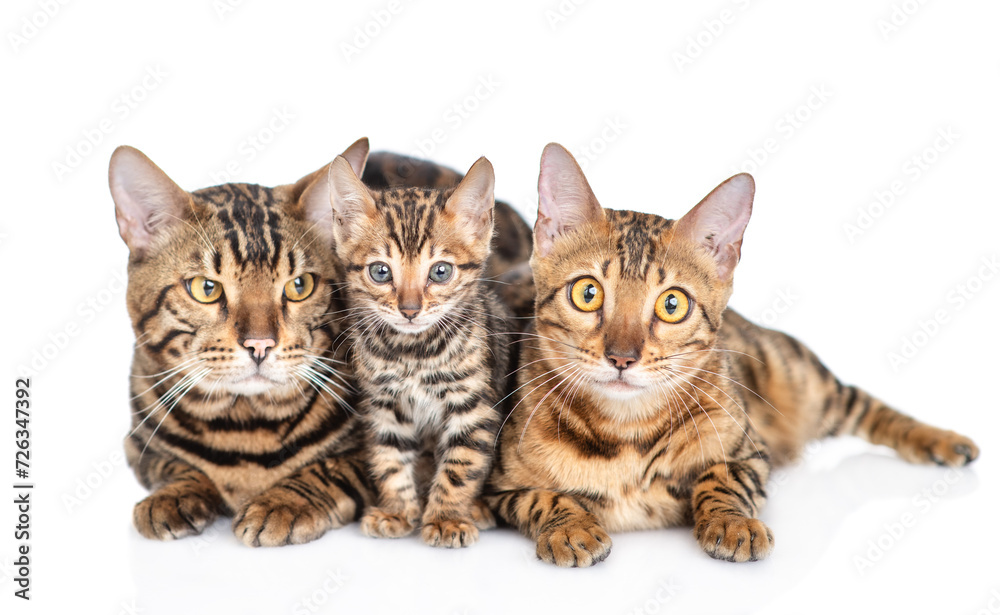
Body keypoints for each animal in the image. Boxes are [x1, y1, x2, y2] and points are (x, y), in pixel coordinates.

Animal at [109, 137, 374, 548]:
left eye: (299, 286)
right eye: (206, 288)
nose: (260, 344)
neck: (245, 427)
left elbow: (334, 467)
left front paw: (282, 501)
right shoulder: (137, 445)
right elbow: (172, 464)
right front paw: (173, 495)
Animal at [328, 154, 520, 548]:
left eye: (441, 271)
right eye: (380, 272)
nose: (410, 309)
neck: (412, 353)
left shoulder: (473, 407)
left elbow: (461, 465)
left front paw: (447, 518)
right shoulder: (385, 405)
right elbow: (389, 458)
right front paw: (397, 510)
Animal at [488, 143, 980, 568]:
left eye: (672, 304)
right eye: (587, 293)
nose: (622, 357)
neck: (626, 434)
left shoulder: (751, 452)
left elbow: (721, 478)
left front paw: (731, 523)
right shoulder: (497, 490)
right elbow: (544, 496)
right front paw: (570, 527)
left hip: (799, 376)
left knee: (862, 403)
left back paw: (941, 440)